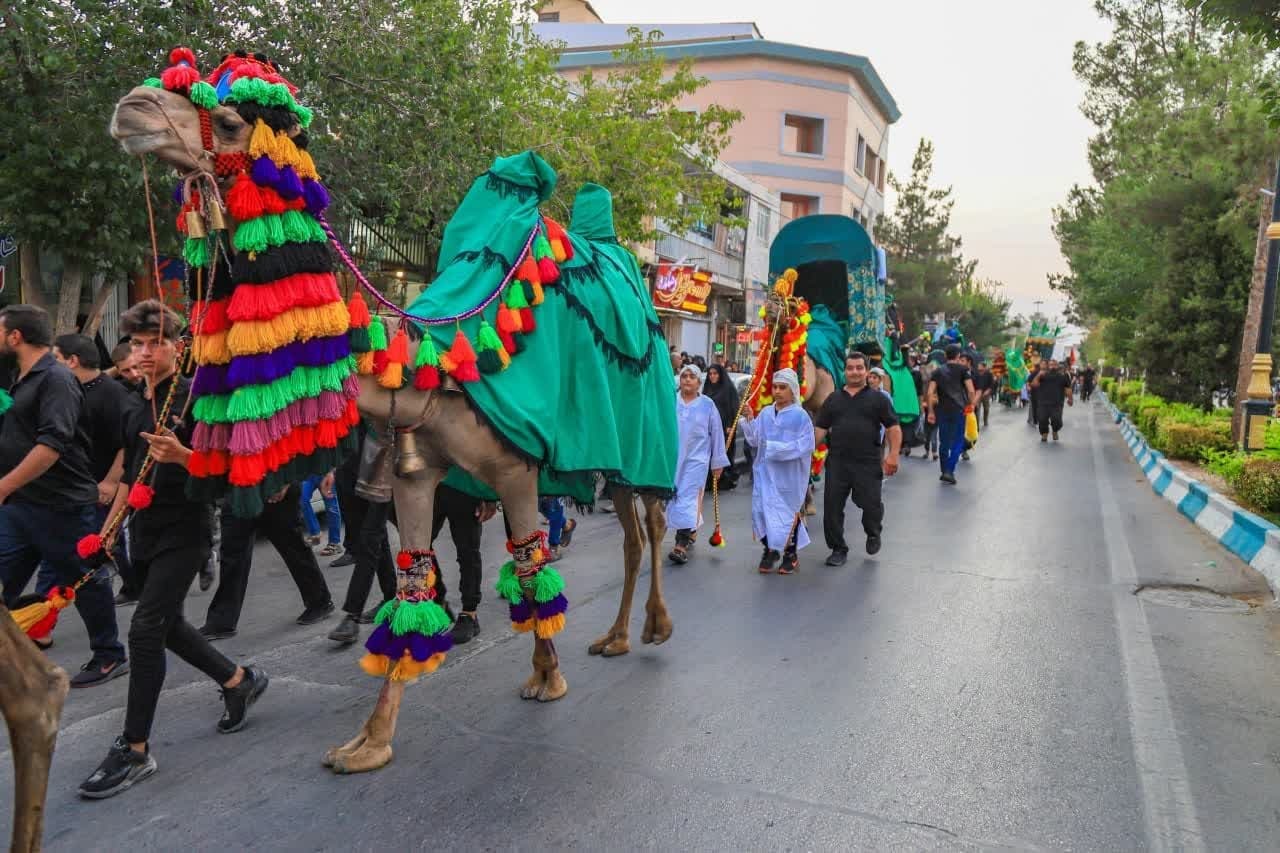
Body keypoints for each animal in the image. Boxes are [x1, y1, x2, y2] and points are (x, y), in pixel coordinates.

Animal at [106, 49, 680, 773]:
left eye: (231, 121)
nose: (133, 108)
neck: (422, 367)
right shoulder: (416, 472)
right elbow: (409, 583)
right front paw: (369, 740)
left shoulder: (518, 468)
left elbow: (528, 565)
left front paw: (548, 677)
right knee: (631, 534)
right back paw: (615, 636)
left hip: (644, 439)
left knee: (651, 522)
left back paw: (651, 628)